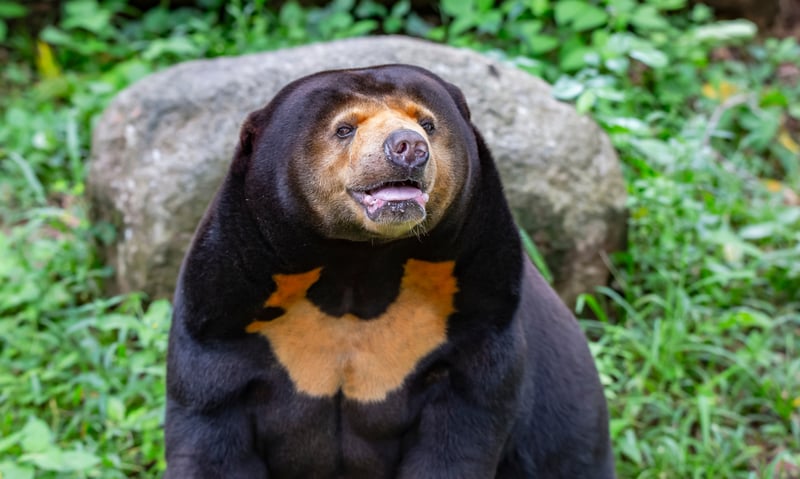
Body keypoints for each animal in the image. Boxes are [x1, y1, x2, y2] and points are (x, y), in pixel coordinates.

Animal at [164, 64, 615, 478]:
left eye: (427, 123)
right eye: (344, 128)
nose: (408, 147)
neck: (357, 266)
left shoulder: (480, 310)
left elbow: (459, 438)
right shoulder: (222, 314)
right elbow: (210, 429)